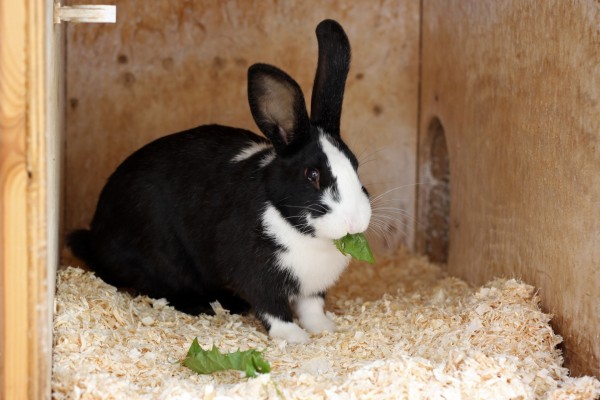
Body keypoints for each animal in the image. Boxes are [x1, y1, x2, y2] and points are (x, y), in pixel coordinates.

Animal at [68, 19, 372, 344]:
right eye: (312, 175)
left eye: (355, 165)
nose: (354, 222)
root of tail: (96, 238)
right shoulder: (257, 275)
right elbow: (273, 308)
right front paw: (294, 338)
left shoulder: (312, 288)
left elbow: (312, 307)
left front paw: (325, 329)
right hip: (160, 262)